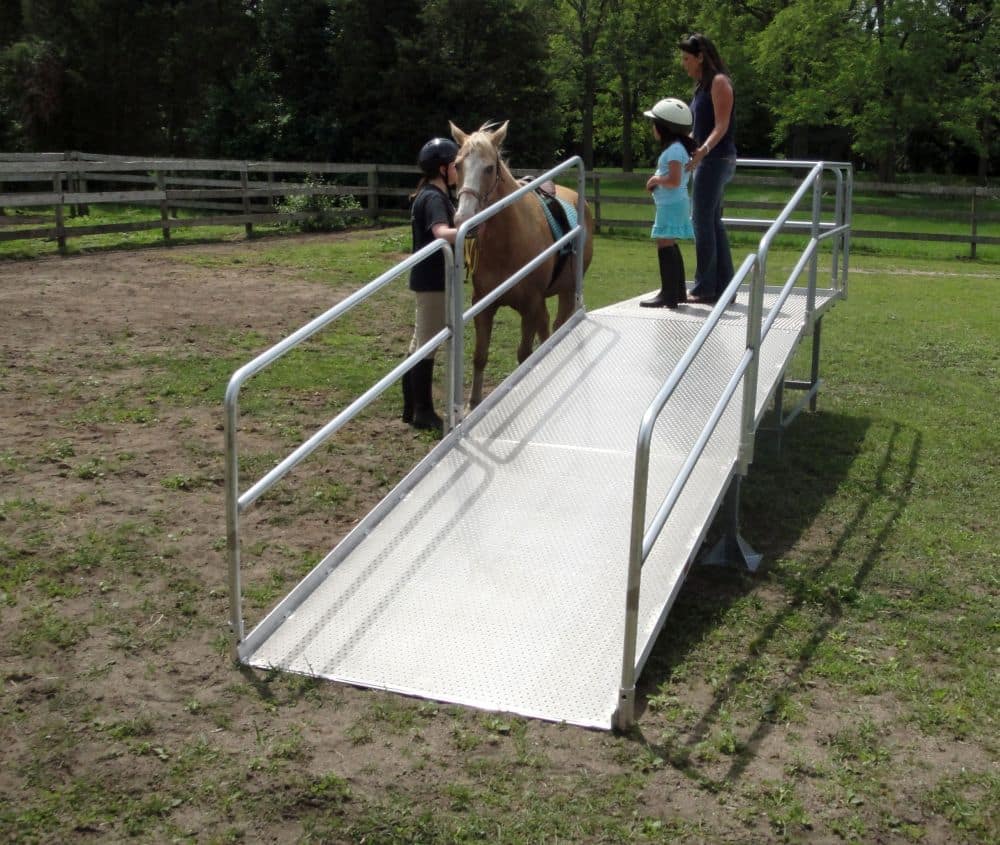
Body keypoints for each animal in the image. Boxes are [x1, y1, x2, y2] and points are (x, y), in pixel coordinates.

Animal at [450, 120, 595, 408]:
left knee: (558, 324)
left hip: (566, 291)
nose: (463, 219)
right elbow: (480, 355)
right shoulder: (483, 306)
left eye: (489, 168)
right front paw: (474, 403)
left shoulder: (530, 306)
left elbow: (524, 354)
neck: (507, 243)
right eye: (458, 165)